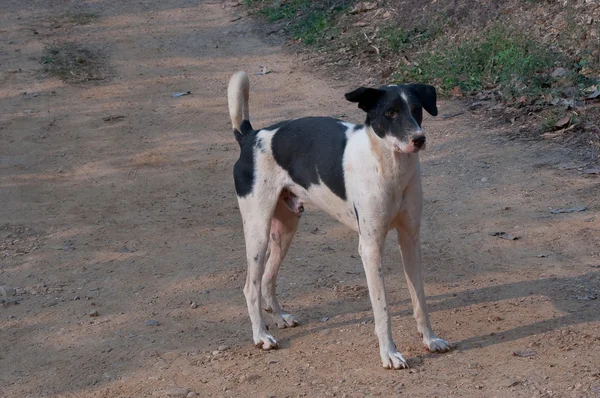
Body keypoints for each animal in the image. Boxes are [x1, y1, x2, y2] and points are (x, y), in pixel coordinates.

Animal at [227, 71, 452, 370]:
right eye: (390, 113)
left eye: (417, 110)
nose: (419, 139)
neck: (389, 168)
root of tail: (251, 137)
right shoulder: (370, 248)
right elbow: (382, 309)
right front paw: (390, 354)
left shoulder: (410, 241)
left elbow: (421, 299)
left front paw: (430, 339)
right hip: (258, 232)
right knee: (250, 287)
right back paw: (261, 335)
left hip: (285, 229)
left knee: (267, 277)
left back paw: (279, 317)